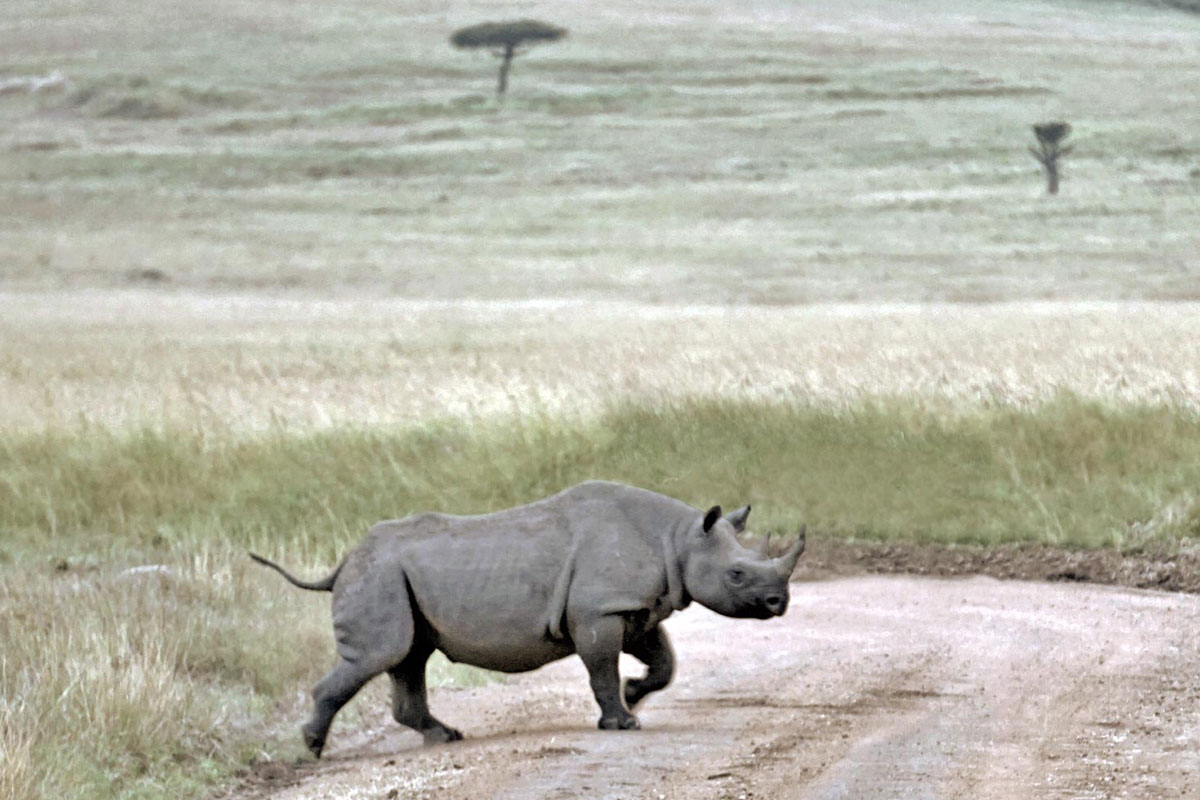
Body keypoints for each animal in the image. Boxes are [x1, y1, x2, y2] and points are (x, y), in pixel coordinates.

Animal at [250, 480, 806, 757]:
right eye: (737, 574)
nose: (778, 603)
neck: (677, 537)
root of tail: (344, 561)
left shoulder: (632, 607)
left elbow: (664, 662)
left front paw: (634, 694)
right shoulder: (599, 608)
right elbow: (600, 668)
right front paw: (623, 722)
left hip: (390, 578)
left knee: (409, 657)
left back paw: (444, 738)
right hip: (379, 577)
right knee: (380, 655)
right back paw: (313, 749)